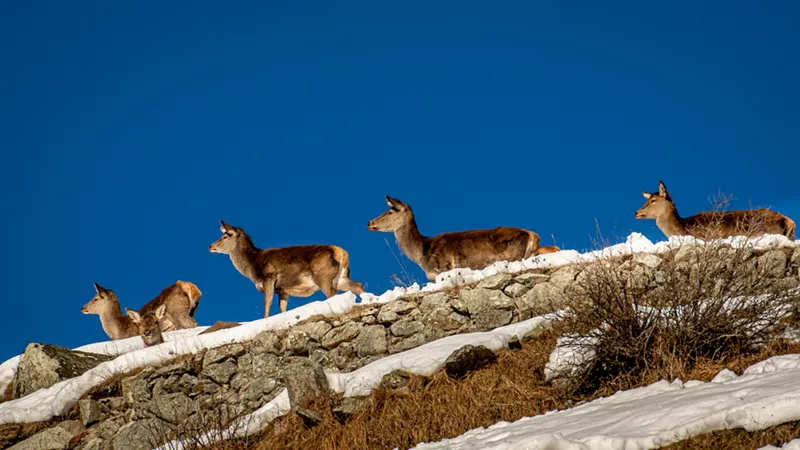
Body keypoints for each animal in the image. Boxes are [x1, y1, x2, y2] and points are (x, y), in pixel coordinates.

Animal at [208, 220, 368, 318]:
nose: (210, 246)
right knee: (357, 285)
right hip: (341, 277)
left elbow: (267, 303)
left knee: (334, 295)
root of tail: (342, 253)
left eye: (226, 235)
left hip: (324, 277)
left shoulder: (269, 278)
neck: (252, 266)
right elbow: (282, 309)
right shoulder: (283, 290)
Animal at [368, 194, 560, 282]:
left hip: (514, 255)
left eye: (391, 211)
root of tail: (532, 234)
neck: (422, 253)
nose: (369, 222)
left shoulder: (441, 270)